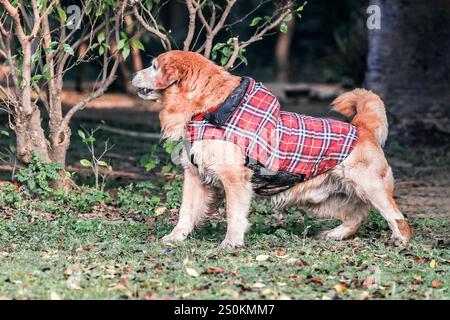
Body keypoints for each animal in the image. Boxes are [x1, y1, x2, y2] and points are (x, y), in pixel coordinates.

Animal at [131, 51, 412, 249]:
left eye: (154, 66)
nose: (133, 74)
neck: (211, 109)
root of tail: (361, 127)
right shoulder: (194, 176)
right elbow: (186, 213)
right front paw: (175, 237)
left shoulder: (235, 179)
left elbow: (234, 215)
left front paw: (231, 243)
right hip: (321, 198)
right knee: (356, 216)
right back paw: (334, 234)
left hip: (372, 189)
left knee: (397, 218)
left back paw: (400, 241)